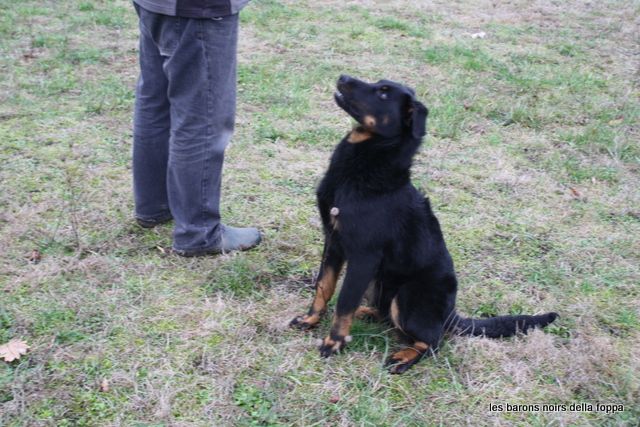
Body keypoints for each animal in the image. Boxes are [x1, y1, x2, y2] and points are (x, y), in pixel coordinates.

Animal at [288, 76, 556, 374]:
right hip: (379, 282)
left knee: (432, 340)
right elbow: (323, 287)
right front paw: (310, 320)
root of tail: (451, 316)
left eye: (383, 93)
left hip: (406, 296)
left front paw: (334, 343)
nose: (343, 77)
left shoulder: (363, 256)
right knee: (384, 314)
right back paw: (366, 313)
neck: (363, 172)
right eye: (378, 84)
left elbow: (344, 302)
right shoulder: (334, 241)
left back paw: (403, 357)